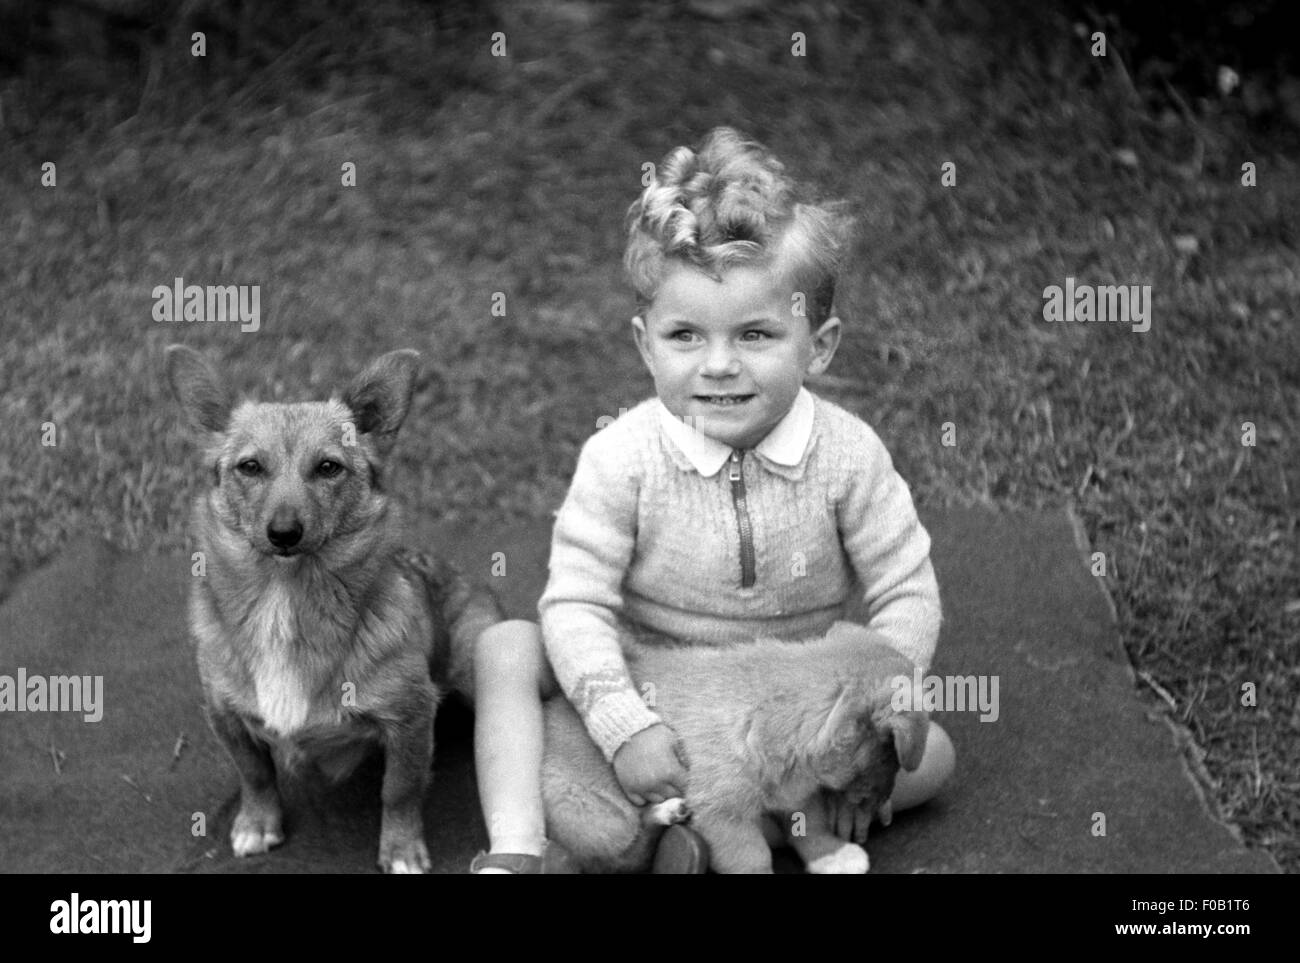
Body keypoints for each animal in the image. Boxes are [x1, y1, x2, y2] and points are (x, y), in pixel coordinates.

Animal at [165, 343, 499, 873]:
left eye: (328, 468)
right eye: (250, 467)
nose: (284, 533)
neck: (288, 600)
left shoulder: (409, 720)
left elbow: (399, 791)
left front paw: (401, 850)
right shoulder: (225, 715)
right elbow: (254, 774)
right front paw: (257, 824)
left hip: (473, 665)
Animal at [543, 623, 930, 873]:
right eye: (892, 756)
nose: (879, 807)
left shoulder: (798, 796)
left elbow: (813, 829)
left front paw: (832, 856)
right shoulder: (723, 818)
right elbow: (752, 858)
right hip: (592, 816)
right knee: (619, 855)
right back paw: (666, 813)